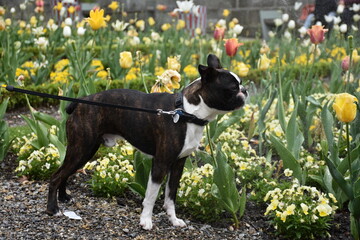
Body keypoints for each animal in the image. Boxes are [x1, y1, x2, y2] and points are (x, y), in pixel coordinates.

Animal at [45, 53, 248, 230]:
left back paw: (64, 197)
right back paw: (53, 209)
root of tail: (80, 102)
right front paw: (146, 221)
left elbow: (170, 196)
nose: (245, 90)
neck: (187, 112)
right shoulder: (161, 163)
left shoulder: (178, 165)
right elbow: (151, 196)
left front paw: (173, 220)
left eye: (241, 84)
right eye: (232, 88)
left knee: (65, 172)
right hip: (82, 148)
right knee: (56, 176)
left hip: (85, 150)